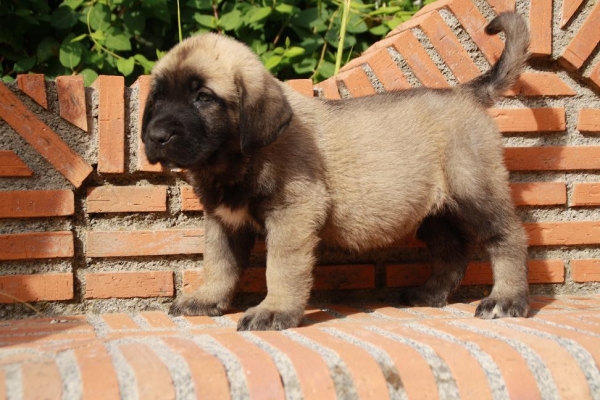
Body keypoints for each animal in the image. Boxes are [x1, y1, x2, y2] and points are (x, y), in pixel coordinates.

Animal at [142, 12, 528, 332]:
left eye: (203, 97)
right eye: (157, 97)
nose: (156, 137)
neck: (233, 162)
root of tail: (466, 93)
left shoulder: (292, 215)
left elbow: (280, 268)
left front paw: (274, 310)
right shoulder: (224, 221)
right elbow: (219, 264)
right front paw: (207, 299)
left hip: (474, 190)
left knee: (508, 237)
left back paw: (505, 299)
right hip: (434, 211)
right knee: (453, 250)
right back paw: (430, 293)